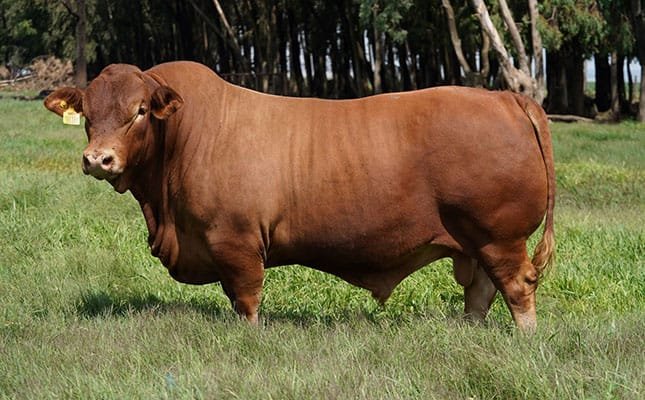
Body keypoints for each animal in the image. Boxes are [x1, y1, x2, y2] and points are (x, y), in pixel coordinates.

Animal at [44, 61, 555, 331]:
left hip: (500, 236)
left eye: (140, 111)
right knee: (481, 290)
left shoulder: (236, 242)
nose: (98, 159)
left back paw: (525, 338)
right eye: (87, 113)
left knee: (517, 286)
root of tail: (504, 97)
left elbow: (246, 299)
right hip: (478, 241)